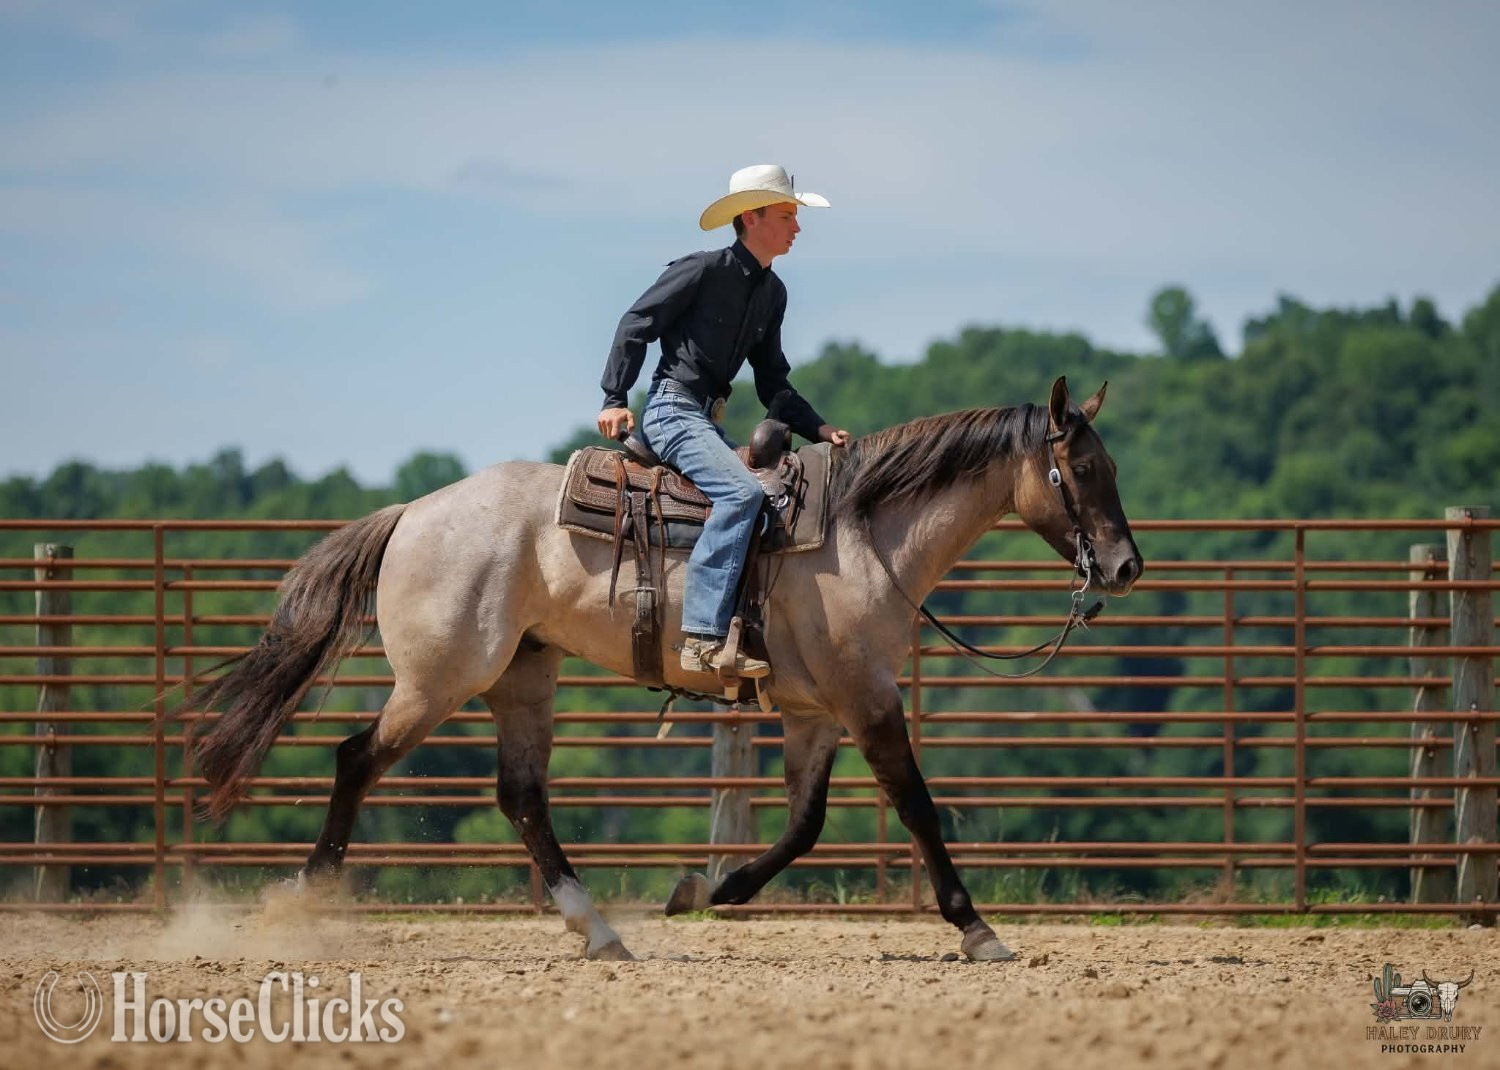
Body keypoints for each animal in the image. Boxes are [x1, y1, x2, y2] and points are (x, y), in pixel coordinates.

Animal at [186, 376, 1142, 962]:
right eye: (1082, 467)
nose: (1126, 566)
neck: (864, 531)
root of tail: (413, 512)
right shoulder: (868, 699)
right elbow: (915, 806)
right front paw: (978, 929)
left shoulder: (815, 713)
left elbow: (804, 825)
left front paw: (710, 890)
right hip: (438, 682)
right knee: (357, 760)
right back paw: (300, 901)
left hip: (522, 678)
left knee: (522, 797)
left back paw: (600, 931)